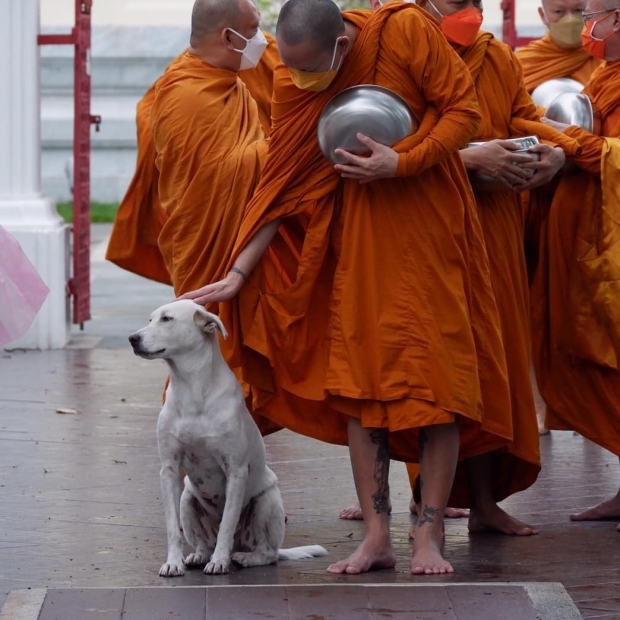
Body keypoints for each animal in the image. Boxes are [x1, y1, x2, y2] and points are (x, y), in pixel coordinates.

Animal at [128, 300, 326, 576]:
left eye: (167, 319)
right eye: (150, 319)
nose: (132, 338)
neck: (191, 388)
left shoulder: (236, 471)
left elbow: (227, 524)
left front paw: (220, 561)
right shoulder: (169, 469)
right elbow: (171, 527)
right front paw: (173, 562)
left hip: (266, 502)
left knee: (267, 552)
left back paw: (243, 558)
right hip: (187, 499)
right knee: (203, 542)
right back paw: (198, 556)